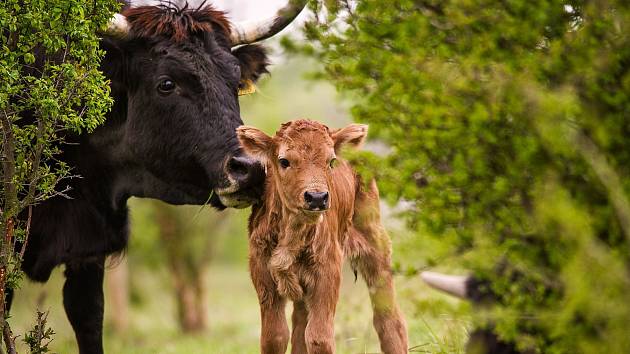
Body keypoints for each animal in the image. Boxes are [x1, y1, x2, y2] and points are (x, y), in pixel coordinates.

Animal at [238, 120, 410, 352]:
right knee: (299, 324)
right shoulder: (263, 274)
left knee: (389, 319)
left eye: (331, 161)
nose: (317, 197)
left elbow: (319, 337)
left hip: (376, 247)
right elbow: (274, 337)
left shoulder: (327, 273)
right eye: (284, 161)